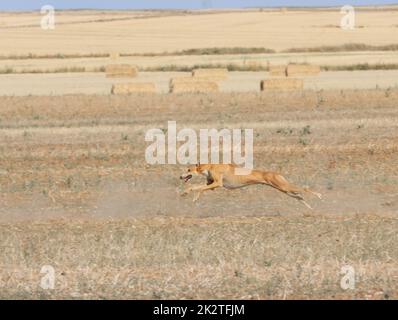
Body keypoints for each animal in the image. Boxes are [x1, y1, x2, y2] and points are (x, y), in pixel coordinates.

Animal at [179, 164, 322, 209]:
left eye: (188, 169)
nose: (180, 177)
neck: (209, 166)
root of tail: (276, 173)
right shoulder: (211, 184)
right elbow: (196, 187)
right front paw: (185, 193)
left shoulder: (217, 183)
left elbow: (200, 188)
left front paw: (195, 197)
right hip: (284, 189)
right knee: (299, 196)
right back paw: (309, 207)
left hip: (284, 187)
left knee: (304, 189)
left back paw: (319, 195)